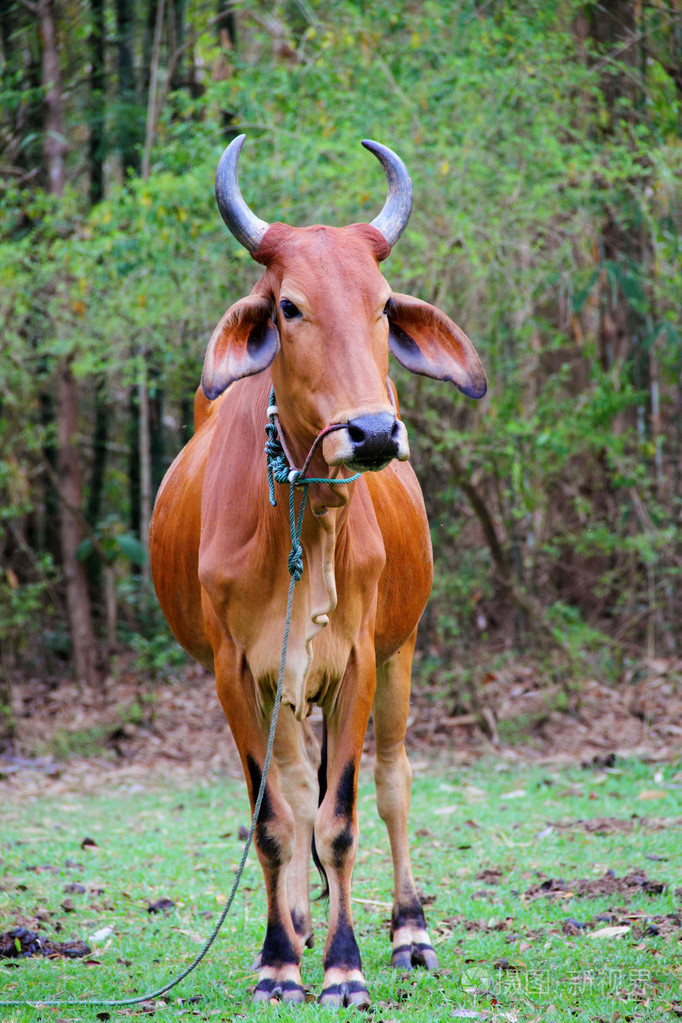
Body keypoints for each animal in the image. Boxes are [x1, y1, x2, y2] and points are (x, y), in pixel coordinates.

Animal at [149, 136, 484, 1006]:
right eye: (290, 307)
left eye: (382, 303)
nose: (371, 431)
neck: (304, 525)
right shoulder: (237, 672)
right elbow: (275, 818)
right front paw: (279, 961)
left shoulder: (359, 661)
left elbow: (341, 819)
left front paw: (345, 967)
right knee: (293, 792)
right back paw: (297, 924)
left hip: (400, 653)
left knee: (394, 780)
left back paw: (409, 930)